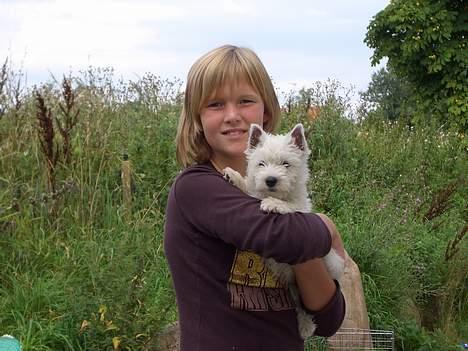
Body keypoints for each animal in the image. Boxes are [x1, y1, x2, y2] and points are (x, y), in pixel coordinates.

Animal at [223, 124, 344, 340]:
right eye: (261, 164)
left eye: (286, 164)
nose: (270, 180)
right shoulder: (255, 192)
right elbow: (251, 190)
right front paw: (235, 177)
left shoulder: (302, 211)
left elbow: (291, 207)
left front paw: (273, 204)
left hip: (331, 263)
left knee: (304, 307)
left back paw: (306, 327)